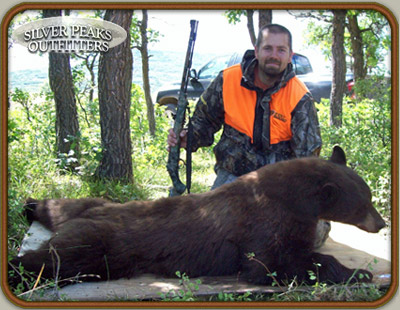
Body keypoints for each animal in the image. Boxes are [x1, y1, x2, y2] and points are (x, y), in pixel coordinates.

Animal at [8, 147, 384, 290]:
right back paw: (16, 270)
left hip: (90, 204)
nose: (381, 223)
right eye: (364, 203)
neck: (295, 198)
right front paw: (356, 272)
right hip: (106, 242)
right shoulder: (264, 221)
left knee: (60, 205)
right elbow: (268, 264)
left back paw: (30, 204)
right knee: (60, 261)